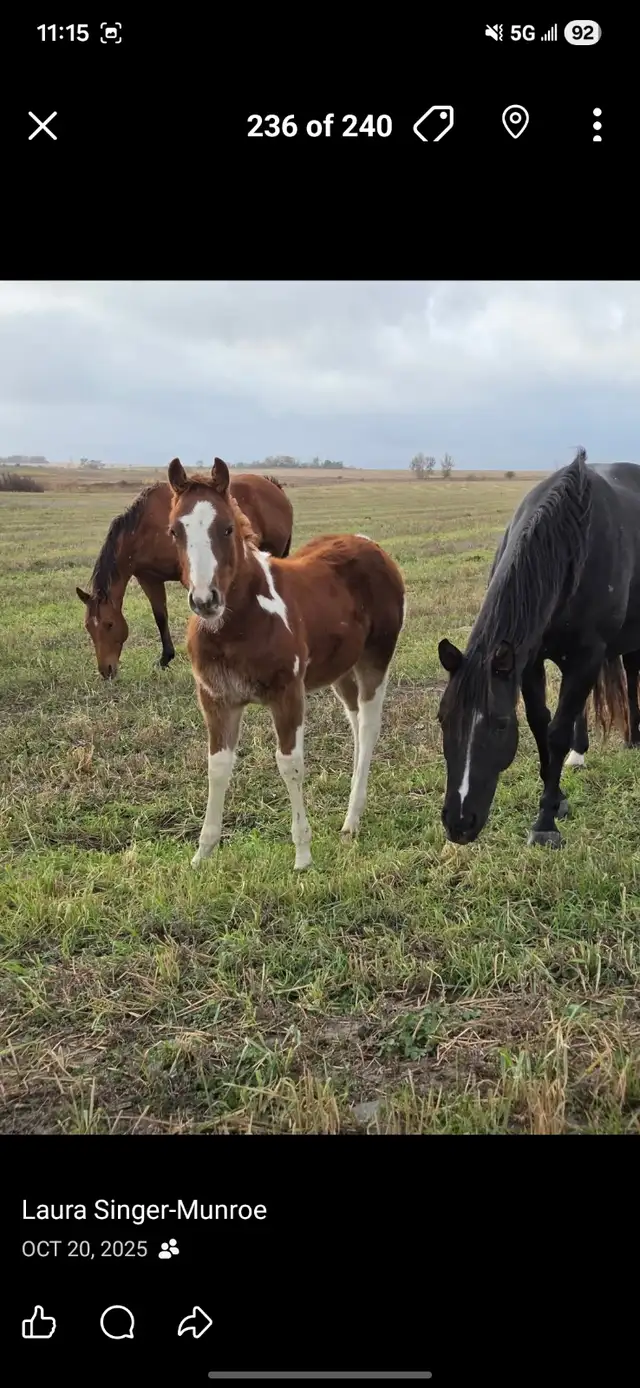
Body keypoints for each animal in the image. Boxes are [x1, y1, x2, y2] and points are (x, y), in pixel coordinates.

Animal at [76, 471, 294, 678]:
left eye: (109, 624)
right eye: (88, 627)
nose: (106, 671)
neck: (145, 528)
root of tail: (273, 485)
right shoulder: (149, 578)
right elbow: (160, 616)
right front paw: (165, 659)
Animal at [167, 456, 405, 871]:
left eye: (227, 528)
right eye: (174, 531)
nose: (205, 600)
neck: (239, 625)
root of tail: (371, 545)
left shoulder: (287, 693)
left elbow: (290, 764)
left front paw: (303, 854)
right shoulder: (217, 699)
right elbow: (217, 767)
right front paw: (202, 852)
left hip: (375, 659)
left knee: (369, 726)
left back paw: (352, 819)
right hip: (340, 671)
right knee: (356, 722)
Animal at [437, 450, 640, 848]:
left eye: (500, 725)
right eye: (442, 719)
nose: (458, 823)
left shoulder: (588, 656)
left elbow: (557, 732)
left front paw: (546, 820)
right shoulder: (526, 661)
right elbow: (540, 723)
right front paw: (558, 797)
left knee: (633, 674)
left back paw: (633, 739)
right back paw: (582, 753)